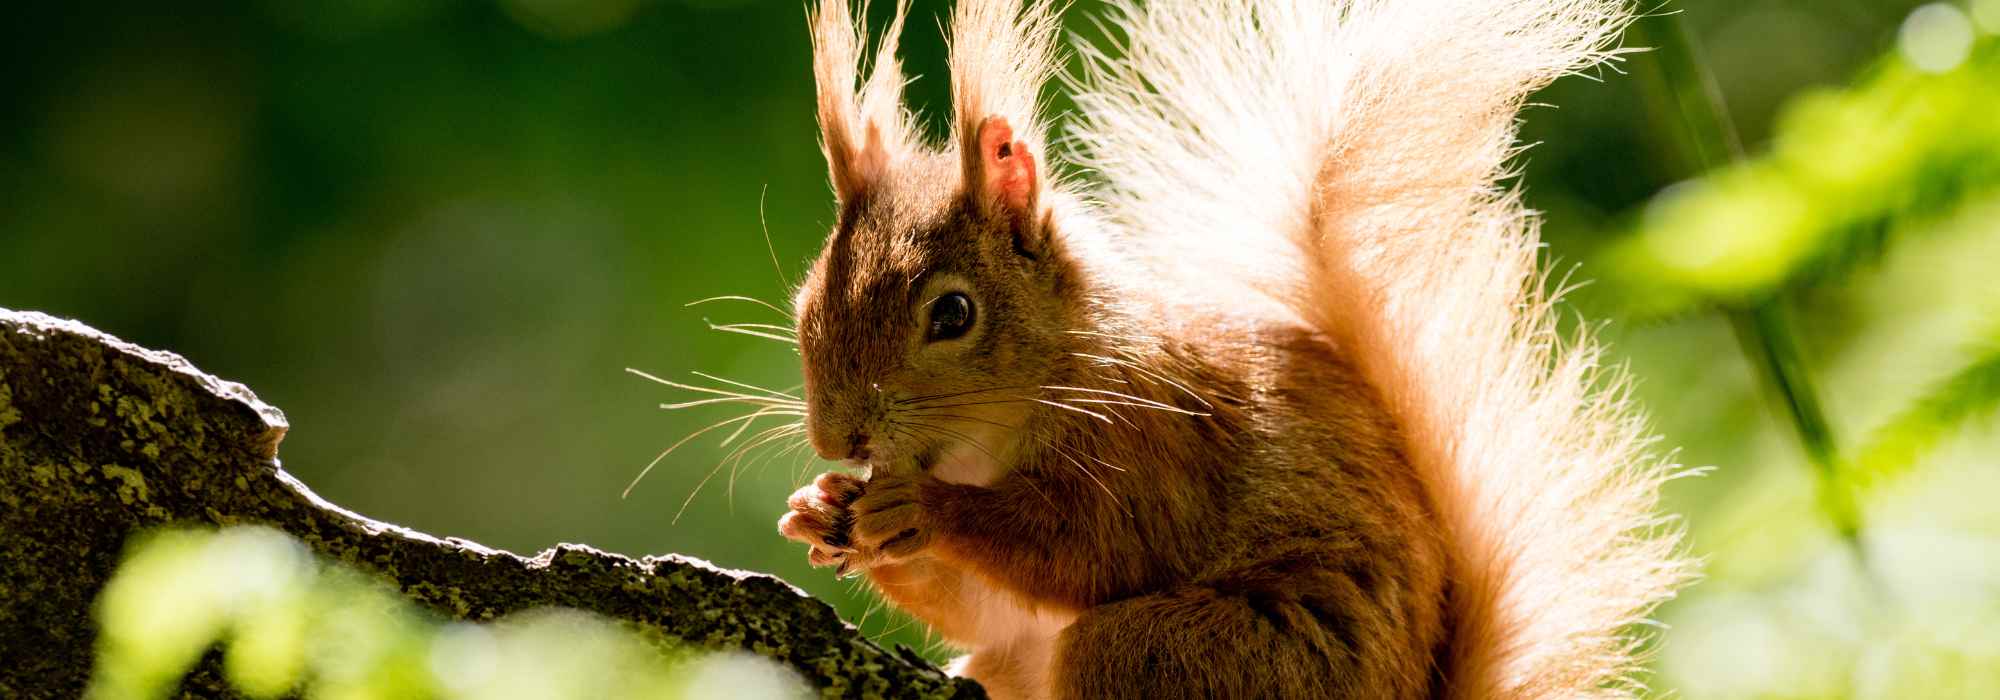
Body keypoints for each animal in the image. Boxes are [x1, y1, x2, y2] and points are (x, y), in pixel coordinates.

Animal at [760, 1, 1688, 700]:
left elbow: (1087, 551)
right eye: (807, 305)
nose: (839, 439)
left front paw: (924, 510)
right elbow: (983, 607)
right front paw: (818, 507)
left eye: (952, 314)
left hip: (1208, 658)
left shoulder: (1152, 441)